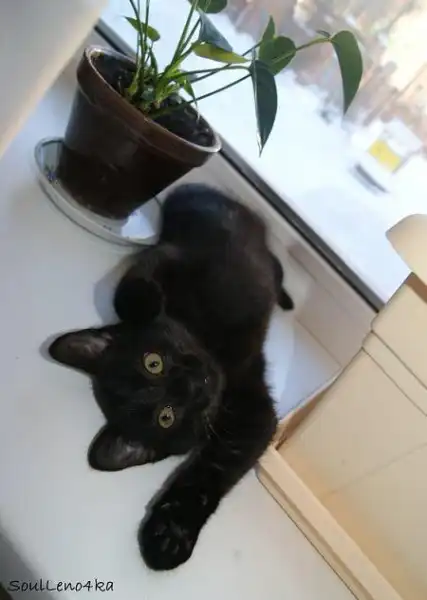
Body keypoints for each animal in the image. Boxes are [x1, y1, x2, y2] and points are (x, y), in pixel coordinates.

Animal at [48, 184, 294, 571]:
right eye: (167, 416)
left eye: (153, 363)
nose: (194, 383)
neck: (209, 345)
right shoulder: (252, 416)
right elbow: (207, 473)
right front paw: (168, 536)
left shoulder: (167, 256)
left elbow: (128, 291)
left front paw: (147, 306)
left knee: (273, 262)